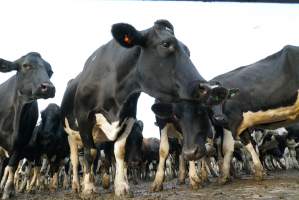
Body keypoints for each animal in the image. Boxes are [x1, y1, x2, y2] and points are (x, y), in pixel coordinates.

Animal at [0, 52, 55, 199]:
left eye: (50, 71)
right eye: (26, 65)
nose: (48, 88)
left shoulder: (20, 144)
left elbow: (12, 167)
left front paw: (7, 192)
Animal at [61, 19, 230, 196]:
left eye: (188, 51)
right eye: (165, 44)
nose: (210, 88)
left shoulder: (127, 119)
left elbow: (120, 152)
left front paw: (121, 186)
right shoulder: (84, 118)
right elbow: (90, 153)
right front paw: (88, 188)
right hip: (71, 136)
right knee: (75, 160)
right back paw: (76, 185)